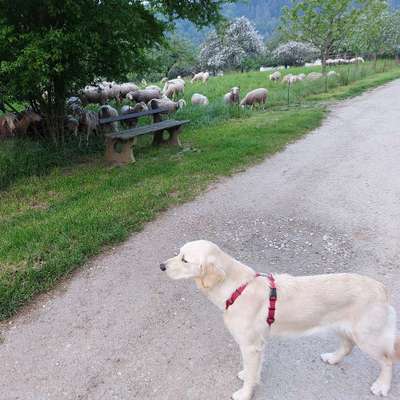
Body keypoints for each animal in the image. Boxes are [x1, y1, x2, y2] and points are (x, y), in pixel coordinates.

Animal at [160, 239, 400, 398]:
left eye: (184, 259)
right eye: (178, 253)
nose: (161, 266)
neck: (236, 288)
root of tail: (381, 288)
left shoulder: (250, 345)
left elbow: (250, 374)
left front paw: (244, 393)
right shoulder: (257, 345)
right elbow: (253, 370)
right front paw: (248, 374)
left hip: (369, 337)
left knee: (387, 360)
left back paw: (382, 386)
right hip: (345, 328)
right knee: (348, 346)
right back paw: (333, 358)